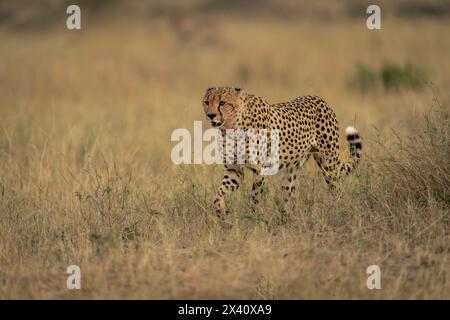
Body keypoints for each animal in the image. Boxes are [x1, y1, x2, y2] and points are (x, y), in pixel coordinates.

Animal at [203, 87, 362, 218]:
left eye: (222, 103)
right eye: (206, 102)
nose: (210, 115)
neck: (232, 126)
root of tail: (318, 98)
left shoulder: (260, 170)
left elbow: (255, 197)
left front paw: (254, 218)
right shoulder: (234, 170)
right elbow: (218, 195)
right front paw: (221, 212)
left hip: (328, 165)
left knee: (337, 189)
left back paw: (338, 212)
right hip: (292, 171)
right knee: (288, 195)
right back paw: (286, 219)